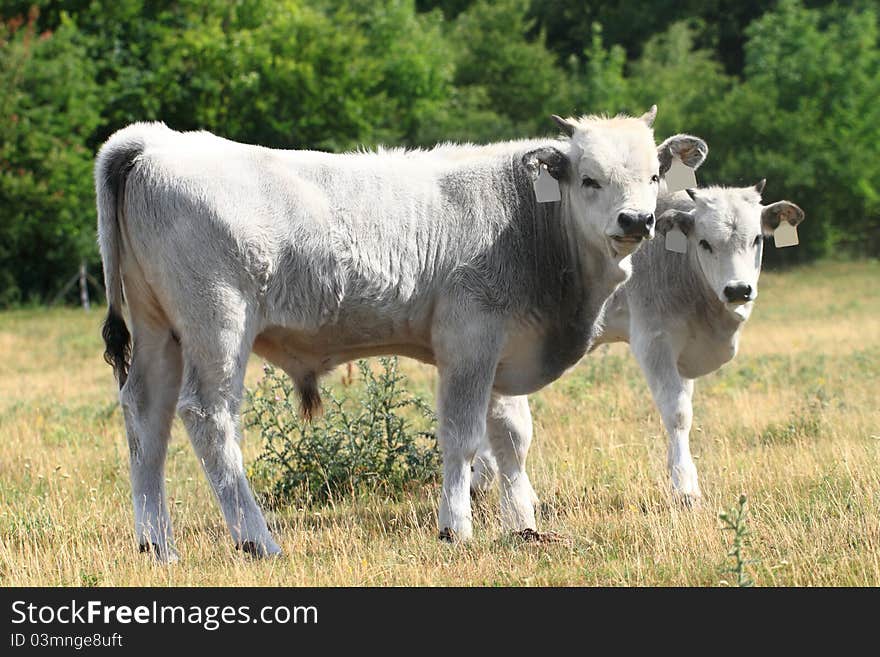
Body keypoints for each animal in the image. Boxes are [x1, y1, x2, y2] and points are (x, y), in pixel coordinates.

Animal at [94, 109, 708, 560]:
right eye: (589, 178)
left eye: (653, 176)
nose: (637, 221)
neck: (528, 222)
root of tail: (154, 142)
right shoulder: (468, 339)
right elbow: (462, 436)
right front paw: (456, 527)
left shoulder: (503, 346)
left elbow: (510, 436)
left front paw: (524, 524)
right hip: (218, 321)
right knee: (208, 415)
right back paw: (257, 539)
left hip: (159, 331)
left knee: (146, 417)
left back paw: (157, 545)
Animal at [474, 181, 804, 508]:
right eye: (705, 243)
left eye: (757, 239)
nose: (737, 290)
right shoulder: (654, 340)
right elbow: (678, 413)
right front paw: (685, 486)